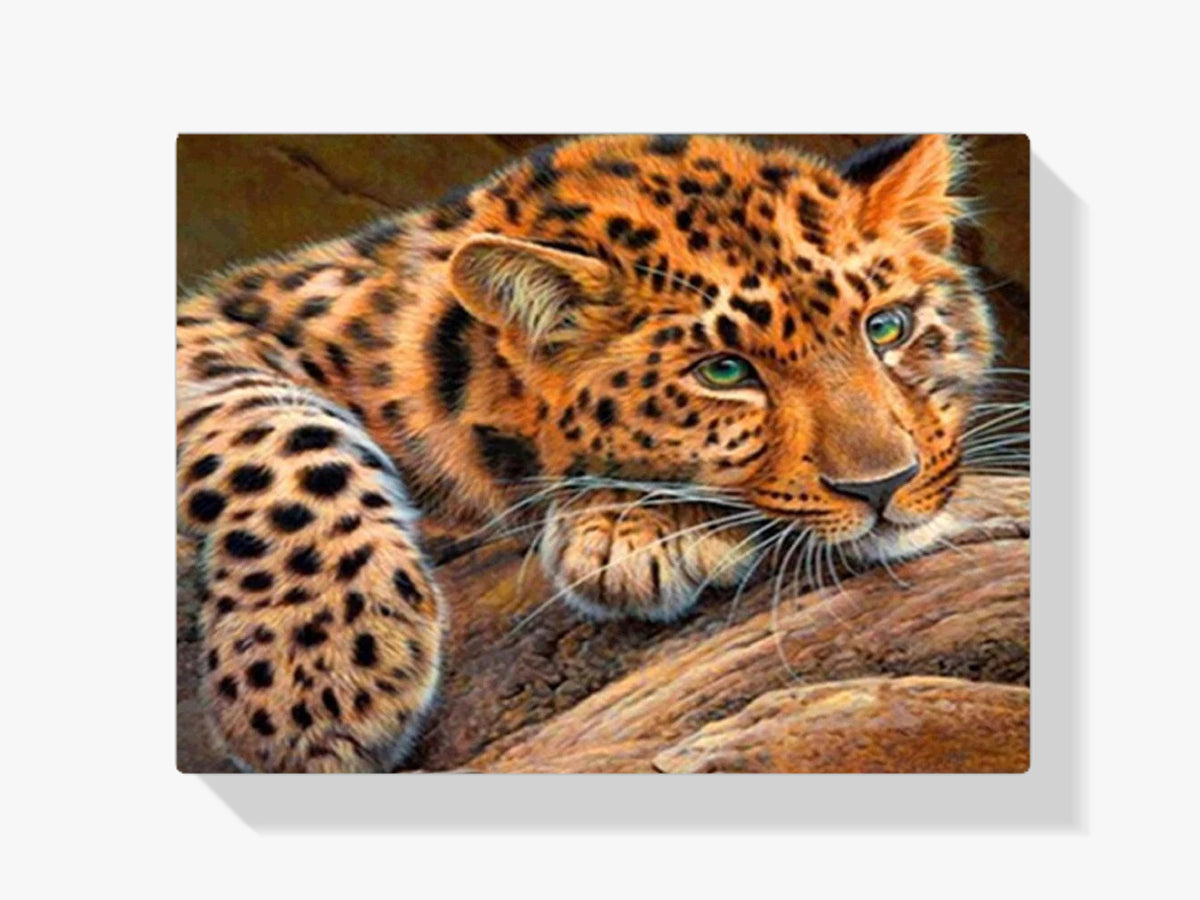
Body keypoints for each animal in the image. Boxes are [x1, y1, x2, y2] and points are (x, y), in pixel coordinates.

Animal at [177, 134, 995, 772]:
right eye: (724, 372)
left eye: (887, 328)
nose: (886, 484)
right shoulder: (214, 323)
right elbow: (274, 426)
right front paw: (317, 671)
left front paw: (632, 527)